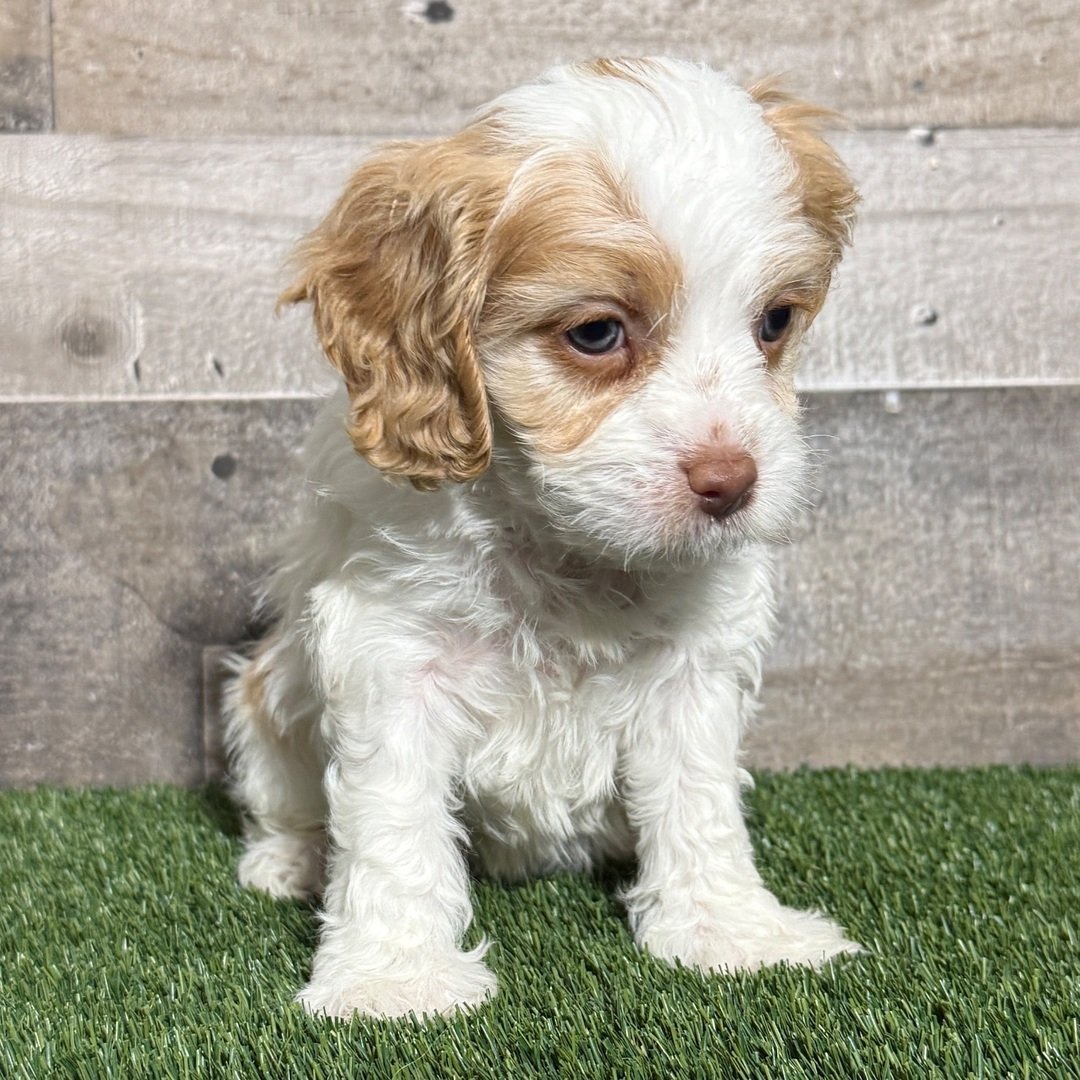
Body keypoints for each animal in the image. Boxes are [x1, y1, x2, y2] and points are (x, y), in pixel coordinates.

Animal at [224, 56, 860, 1020]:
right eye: (596, 332)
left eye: (775, 323)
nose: (732, 481)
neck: (563, 544)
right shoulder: (391, 653)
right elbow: (393, 824)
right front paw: (395, 979)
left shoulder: (694, 667)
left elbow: (700, 803)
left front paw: (732, 933)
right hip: (263, 699)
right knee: (287, 798)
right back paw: (291, 859)